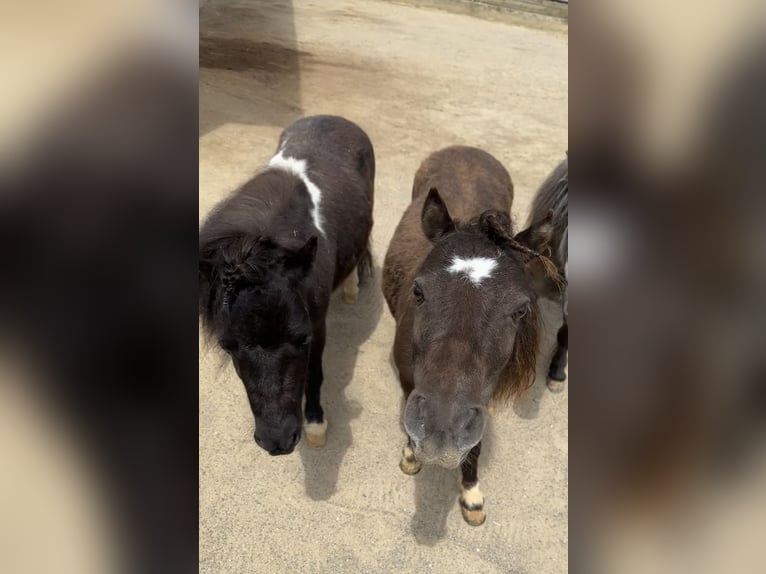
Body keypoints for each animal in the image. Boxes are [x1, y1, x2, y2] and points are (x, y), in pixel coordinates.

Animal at [384, 147, 560, 528]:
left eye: (520, 310)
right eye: (418, 292)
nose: (441, 432)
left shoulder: (481, 398)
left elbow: (475, 444)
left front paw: (471, 493)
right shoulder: (408, 377)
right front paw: (412, 454)